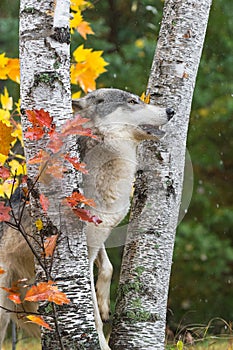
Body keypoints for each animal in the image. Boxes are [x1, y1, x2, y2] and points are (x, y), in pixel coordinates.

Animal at [0, 88, 173, 350]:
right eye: (132, 101)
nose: (171, 110)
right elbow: (92, 315)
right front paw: (102, 343)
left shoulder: (97, 236)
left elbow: (108, 267)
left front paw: (104, 304)